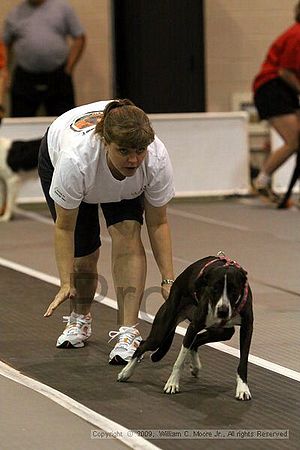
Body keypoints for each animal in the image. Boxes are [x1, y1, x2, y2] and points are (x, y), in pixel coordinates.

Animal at [118, 251, 254, 402]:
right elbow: (180, 360)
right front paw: (172, 383)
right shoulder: (193, 327)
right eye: (214, 289)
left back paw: (195, 366)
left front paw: (243, 388)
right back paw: (126, 372)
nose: (223, 311)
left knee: (197, 341)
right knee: (143, 345)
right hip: (162, 331)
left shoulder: (247, 329)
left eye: (234, 290)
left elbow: (243, 361)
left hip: (223, 332)